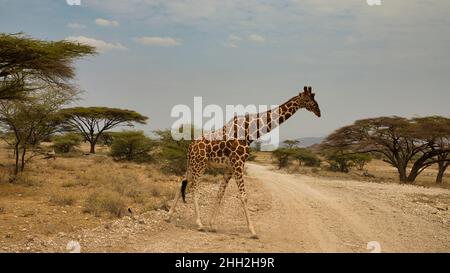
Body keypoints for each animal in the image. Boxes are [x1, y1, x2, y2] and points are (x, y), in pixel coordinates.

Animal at [164, 86, 320, 237]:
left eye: (315, 98)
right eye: (308, 100)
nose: (319, 112)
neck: (250, 132)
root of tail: (190, 146)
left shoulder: (229, 167)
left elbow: (220, 193)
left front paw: (212, 225)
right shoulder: (238, 163)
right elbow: (243, 196)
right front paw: (253, 231)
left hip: (192, 164)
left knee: (182, 183)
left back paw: (169, 217)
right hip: (200, 165)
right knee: (193, 187)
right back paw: (199, 224)